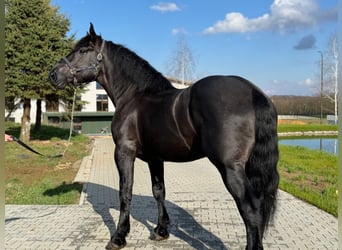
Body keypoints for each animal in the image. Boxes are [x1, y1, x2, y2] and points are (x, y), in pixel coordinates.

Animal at [49, 23, 280, 250]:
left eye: (83, 50)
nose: (53, 75)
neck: (134, 96)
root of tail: (252, 91)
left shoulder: (124, 152)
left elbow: (125, 191)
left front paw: (119, 236)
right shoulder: (155, 159)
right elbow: (159, 191)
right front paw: (161, 230)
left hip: (230, 167)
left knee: (250, 208)